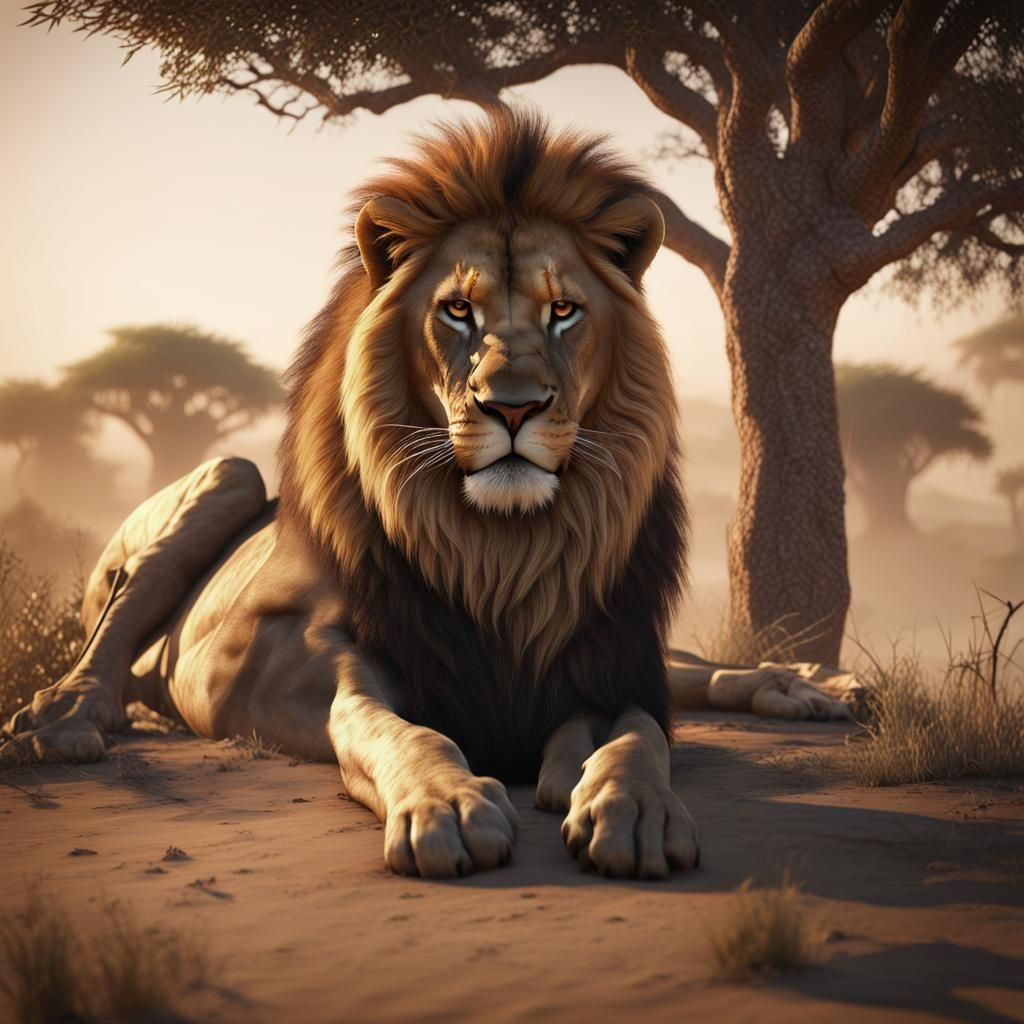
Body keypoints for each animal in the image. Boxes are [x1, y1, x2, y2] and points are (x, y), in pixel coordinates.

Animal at [2, 111, 858, 879]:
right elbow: (399, 731)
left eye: (564, 310)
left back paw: (805, 684)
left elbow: (640, 736)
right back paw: (63, 720)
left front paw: (631, 808)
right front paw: (450, 805)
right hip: (228, 477)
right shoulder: (339, 668)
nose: (512, 407)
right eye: (456, 310)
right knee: (115, 629)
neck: (502, 554)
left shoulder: (612, 658)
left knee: (691, 671)